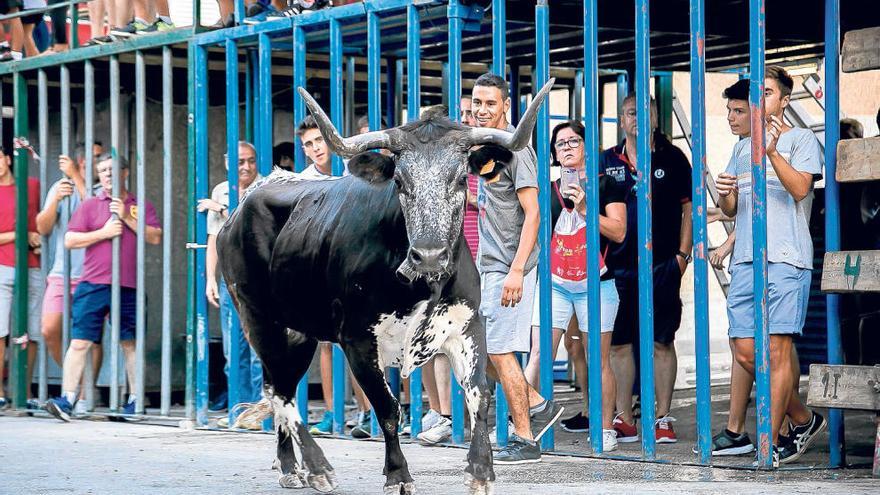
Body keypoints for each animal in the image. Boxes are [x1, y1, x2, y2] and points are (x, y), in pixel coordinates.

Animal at [217, 79, 552, 494]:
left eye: (461, 179)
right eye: (400, 182)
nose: (429, 256)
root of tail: (246, 201)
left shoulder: (468, 326)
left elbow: (480, 394)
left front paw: (480, 470)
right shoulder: (358, 340)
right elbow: (387, 408)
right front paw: (398, 475)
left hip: (298, 331)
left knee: (280, 384)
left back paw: (292, 467)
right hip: (258, 319)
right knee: (280, 389)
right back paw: (316, 465)